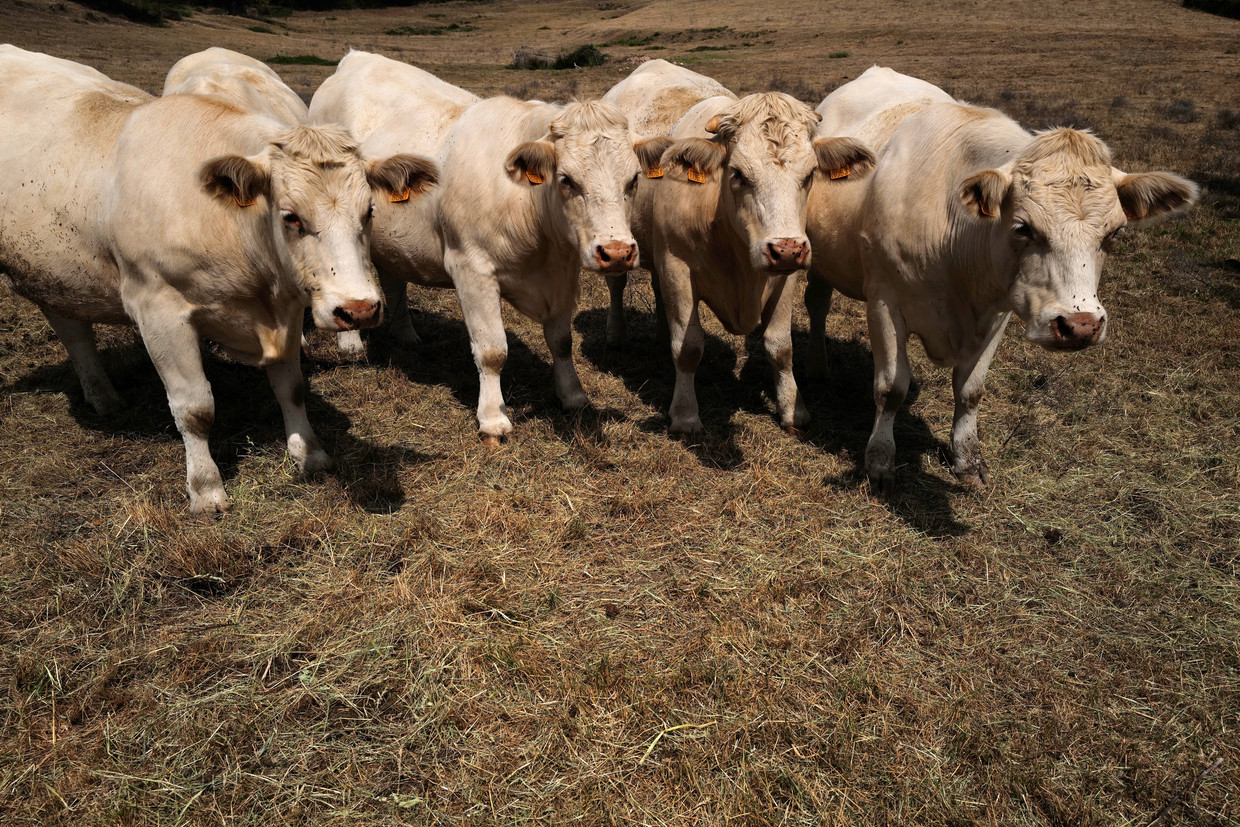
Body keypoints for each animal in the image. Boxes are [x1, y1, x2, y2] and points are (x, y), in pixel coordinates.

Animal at [0, 46, 438, 513]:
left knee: (70, 326)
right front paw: (206, 488)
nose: (358, 309)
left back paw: (103, 396)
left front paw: (309, 453)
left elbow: (292, 388)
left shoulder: (285, 312)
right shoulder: (159, 312)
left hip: (54, 269)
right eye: (291, 216)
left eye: (369, 211)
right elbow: (195, 408)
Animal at [311, 51, 665, 443]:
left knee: (393, 278)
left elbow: (561, 341)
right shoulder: (472, 271)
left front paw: (573, 395)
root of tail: (356, 57)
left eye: (633, 179)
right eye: (567, 180)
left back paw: (406, 334)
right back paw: (352, 345)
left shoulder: (563, 276)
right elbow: (492, 350)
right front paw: (493, 417)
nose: (616, 252)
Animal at [804, 66, 1198, 492]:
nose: (1079, 326)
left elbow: (971, 390)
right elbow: (891, 388)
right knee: (817, 306)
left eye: (1116, 233)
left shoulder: (997, 314)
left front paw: (968, 460)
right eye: (1023, 228)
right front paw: (879, 460)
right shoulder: (884, 304)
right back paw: (819, 367)